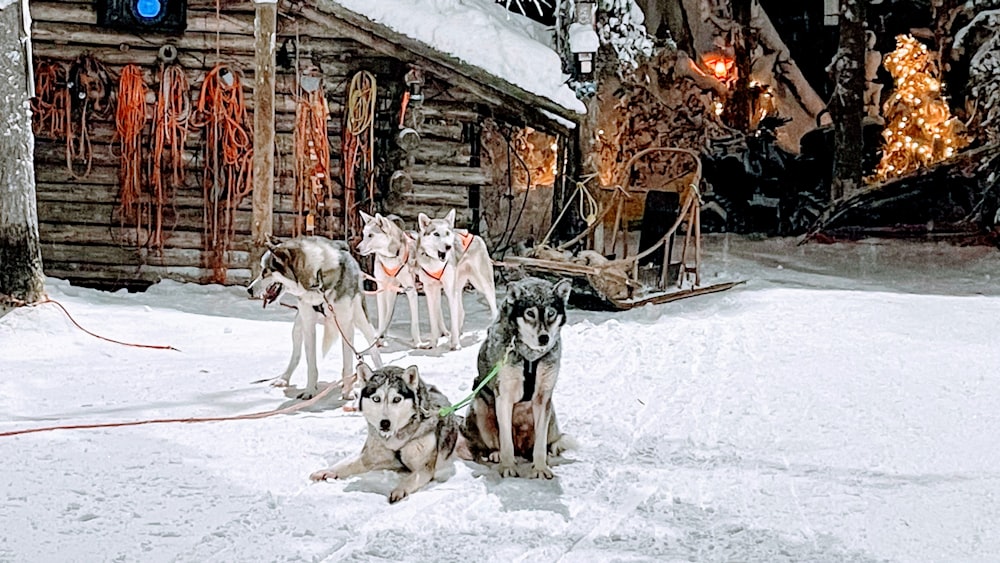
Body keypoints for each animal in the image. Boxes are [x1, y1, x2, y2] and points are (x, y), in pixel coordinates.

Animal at [246, 236, 382, 404]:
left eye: (265, 271)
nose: (249, 290)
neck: (317, 279)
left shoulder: (345, 325)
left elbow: (348, 363)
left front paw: (348, 392)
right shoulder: (309, 326)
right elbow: (311, 365)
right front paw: (310, 391)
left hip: (362, 322)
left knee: (374, 350)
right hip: (298, 328)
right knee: (296, 356)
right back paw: (284, 378)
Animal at [308, 364, 460, 504]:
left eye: (397, 399)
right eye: (376, 399)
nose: (385, 423)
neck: (394, 440)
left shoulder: (423, 468)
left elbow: (410, 479)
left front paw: (399, 490)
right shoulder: (370, 457)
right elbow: (347, 464)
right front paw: (327, 471)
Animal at [356, 212, 430, 348]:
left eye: (371, 235)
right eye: (364, 234)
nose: (357, 249)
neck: (390, 258)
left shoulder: (411, 290)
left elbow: (415, 323)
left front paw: (418, 342)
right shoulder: (381, 288)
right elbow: (382, 317)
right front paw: (379, 338)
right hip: (391, 291)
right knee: (388, 313)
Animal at [416, 209, 498, 350]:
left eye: (447, 233)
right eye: (436, 234)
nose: (449, 246)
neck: (435, 263)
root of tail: (474, 235)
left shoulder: (449, 290)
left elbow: (453, 320)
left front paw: (455, 344)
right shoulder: (430, 290)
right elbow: (434, 321)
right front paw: (433, 343)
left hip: (483, 284)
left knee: (494, 308)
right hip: (459, 287)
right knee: (462, 312)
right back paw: (459, 332)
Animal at [460, 276, 572, 478]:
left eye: (551, 313)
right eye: (530, 313)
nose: (544, 338)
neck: (530, 357)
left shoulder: (543, 398)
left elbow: (540, 445)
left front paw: (541, 468)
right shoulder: (504, 397)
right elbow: (506, 442)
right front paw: (507, 466)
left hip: (550, 413)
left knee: (544, 443)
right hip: (480, 405)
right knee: (497, 442)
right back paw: (496, 454)